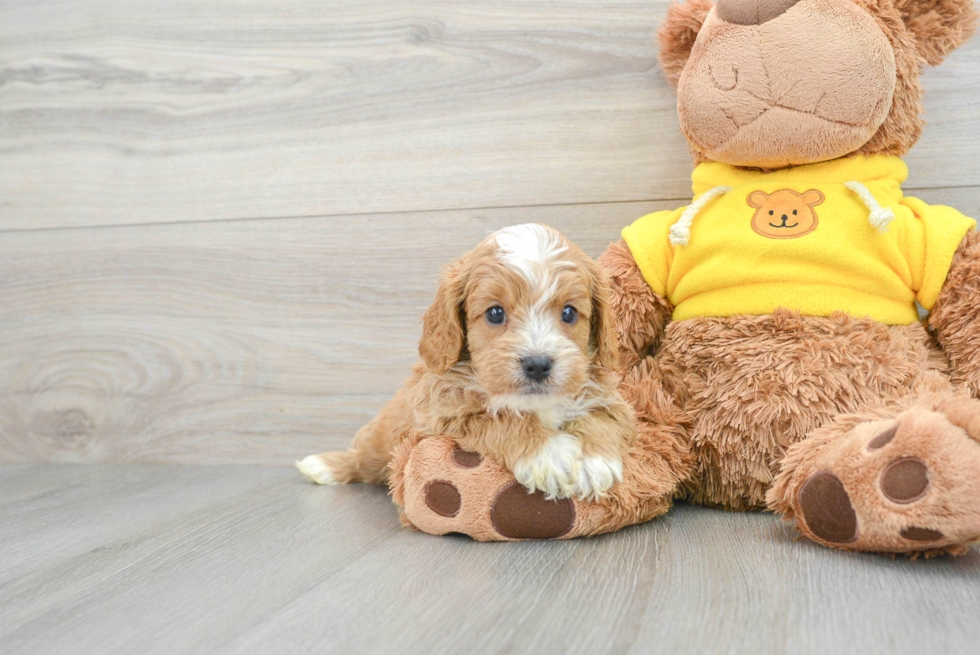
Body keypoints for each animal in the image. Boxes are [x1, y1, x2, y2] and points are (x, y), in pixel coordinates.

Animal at [298, 223, 636, 500]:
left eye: (569, 313)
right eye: (495, 313)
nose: (538, 364)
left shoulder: (612, 399)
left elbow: (601, 418)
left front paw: (593, 462)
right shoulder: (445, 412)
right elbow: (502, 419)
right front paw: (550, 455)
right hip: (380, 439)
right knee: (362, 458)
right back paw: (323, 466)